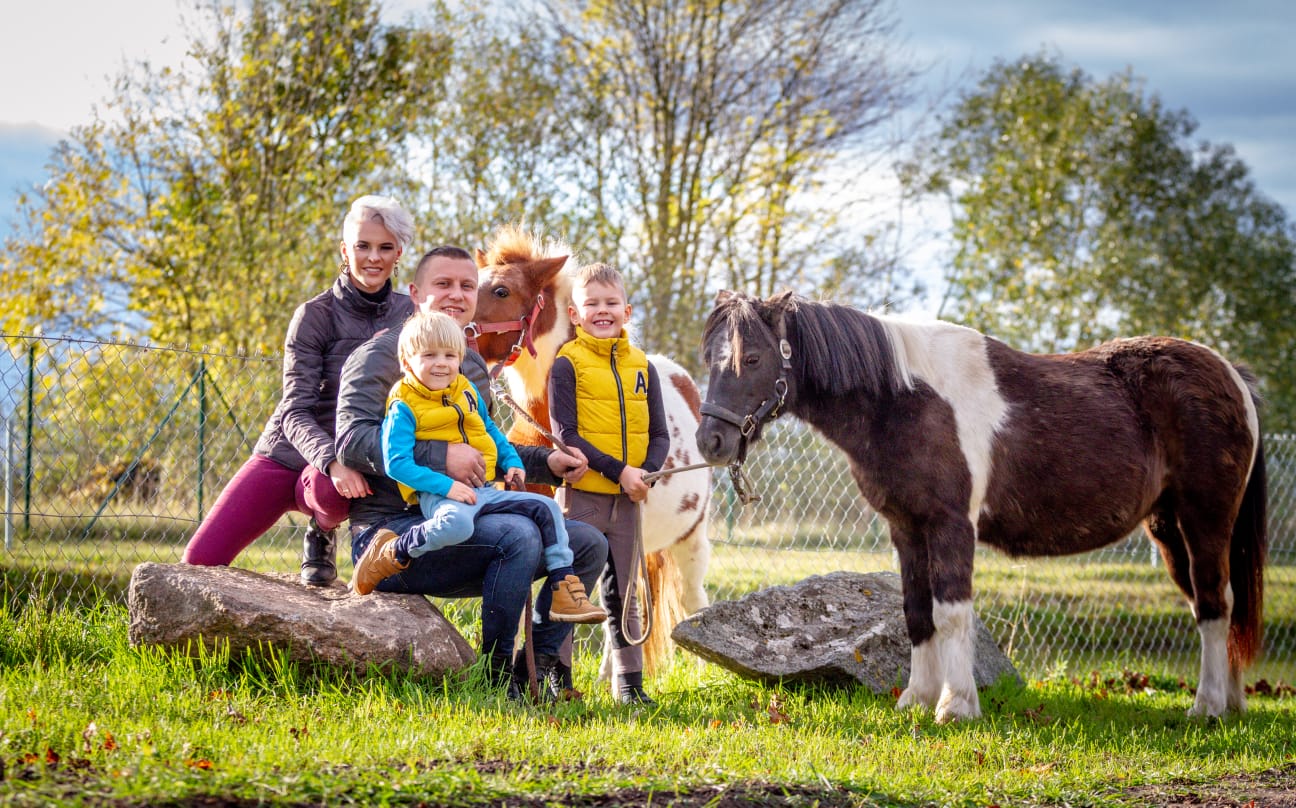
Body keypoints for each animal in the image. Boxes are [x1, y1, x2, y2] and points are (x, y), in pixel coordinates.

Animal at [699, 289, 1264, 721]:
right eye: (711, 361)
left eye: (752, 359)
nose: (711, 442)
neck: (905, 399)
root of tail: (1232, 375)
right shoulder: (907, 528)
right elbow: (916, 613)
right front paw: (915, 700)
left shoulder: (951, 526)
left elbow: (951, 614)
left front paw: (956, 707)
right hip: (1168, 528)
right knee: (1215, 603)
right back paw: (1231, 703)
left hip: (1205, 519)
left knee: (1214, 603)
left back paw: (1207, 708)